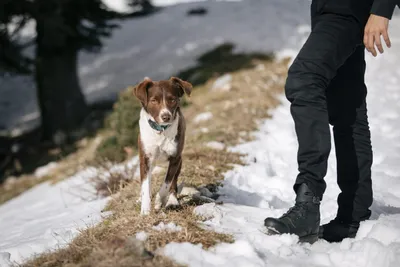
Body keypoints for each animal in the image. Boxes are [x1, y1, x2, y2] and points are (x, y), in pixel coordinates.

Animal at [133, 76, 192, 217]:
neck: (160, 131)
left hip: (179, 161)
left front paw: (159, 201)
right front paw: (145, 210)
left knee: (173, 183)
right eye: (154, 100)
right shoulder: (145, 159)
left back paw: (172, 201)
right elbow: (145, 185)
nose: (166, 117)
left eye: (172, 99)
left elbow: (167, 183)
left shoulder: (175, 158)